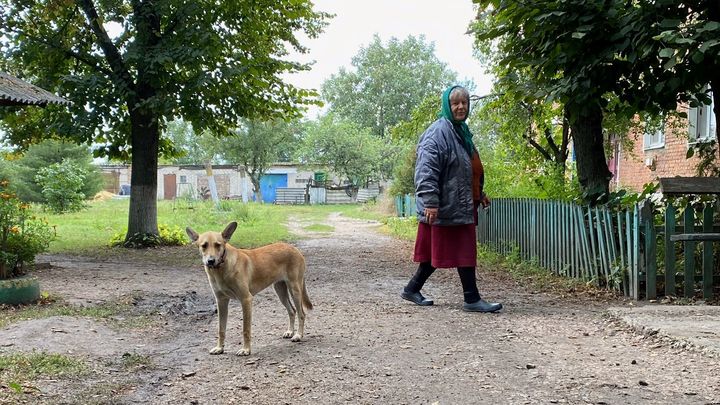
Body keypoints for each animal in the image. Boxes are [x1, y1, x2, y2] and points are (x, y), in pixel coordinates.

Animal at [186, 221, 312, 354]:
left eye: (218, 245)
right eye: (204, 246)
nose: (210, 261)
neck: (221, 269)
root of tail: (295, 249)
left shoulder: (246, 299)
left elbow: (245, 329)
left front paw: (246, 349)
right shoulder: (221, 301)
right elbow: (221, 329)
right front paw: (220, 348)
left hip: (295, 290)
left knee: (301, 313)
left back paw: (298, 335)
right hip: (280, 291)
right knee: (292, 311)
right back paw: (290, 332)